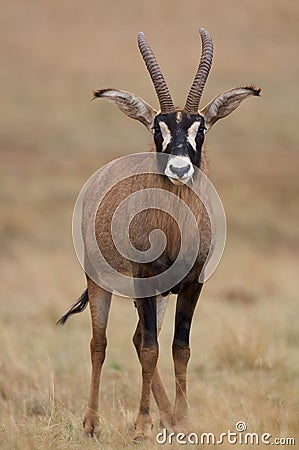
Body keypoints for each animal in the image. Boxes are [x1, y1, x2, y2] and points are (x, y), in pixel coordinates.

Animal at [58, 27, 260, 440]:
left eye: (201, 127)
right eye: (157, 128)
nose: (180, 168)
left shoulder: (192, 284)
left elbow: (179, 348)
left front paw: (183, 420)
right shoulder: (144, 278)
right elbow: (151, 348)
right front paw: (141, 427)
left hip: (159, 295)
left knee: (138, 337)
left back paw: (165, 415)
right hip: (102, 282)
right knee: (100, 342)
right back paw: (92, 424)